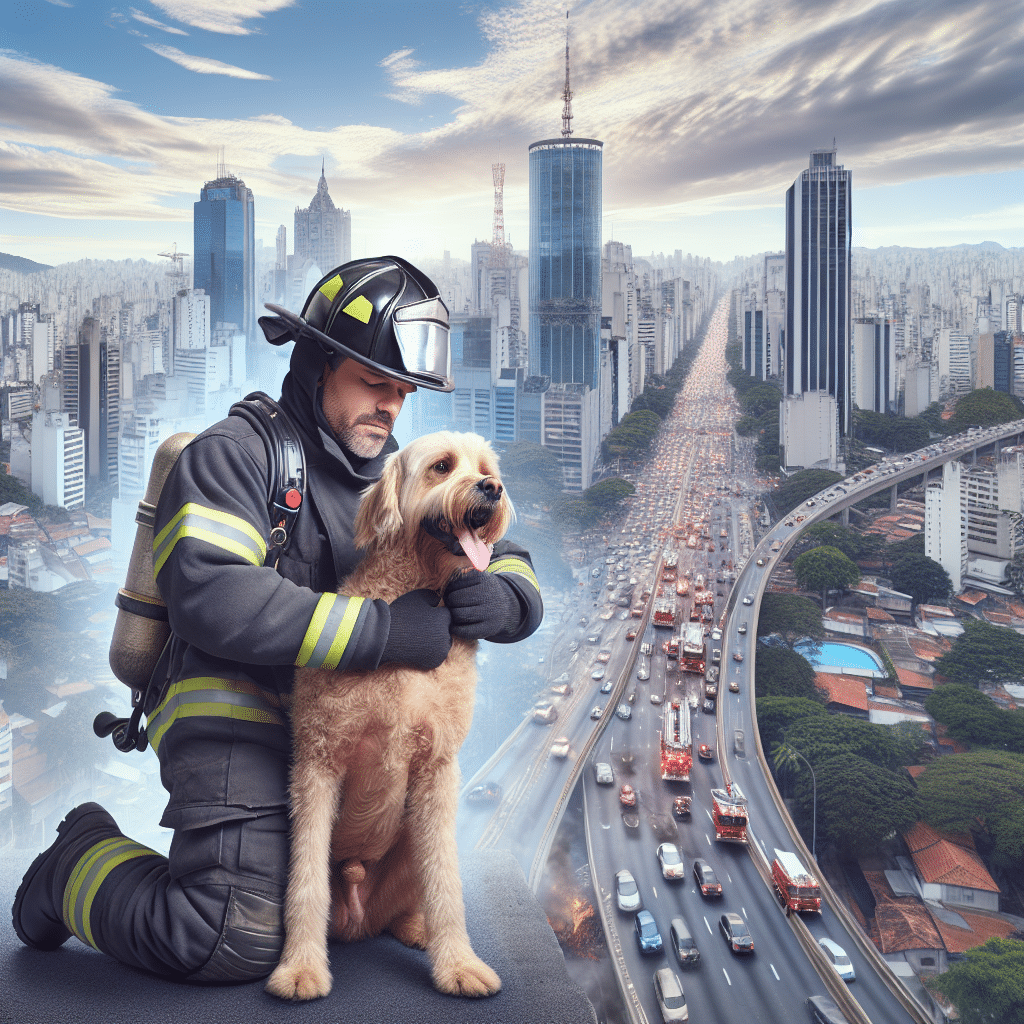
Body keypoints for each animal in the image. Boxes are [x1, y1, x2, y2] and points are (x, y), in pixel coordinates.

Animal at [264, 430, 512, 999]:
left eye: (486, 469)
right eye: (442, 467)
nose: (491, 488)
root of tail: (359, 918)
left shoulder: (437, 770)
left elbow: (446, 880)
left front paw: (458, 963)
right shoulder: (318, 763)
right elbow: (306, 879)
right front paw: (301, 967)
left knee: (415, 894)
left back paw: (417, 929)